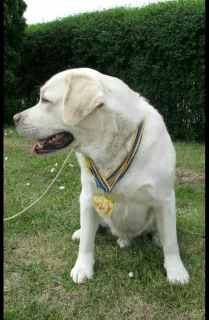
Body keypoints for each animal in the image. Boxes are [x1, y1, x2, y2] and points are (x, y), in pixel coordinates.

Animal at [13, 69, 189, 284]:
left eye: (45, 100)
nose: (14, 118)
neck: (117, 147)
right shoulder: (89, 197)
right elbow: (88, 239)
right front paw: (83, 267)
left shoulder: (165, 199)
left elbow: (171, 241)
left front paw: (176, 272)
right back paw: (81, 232)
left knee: (160, 230)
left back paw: (157, 237)